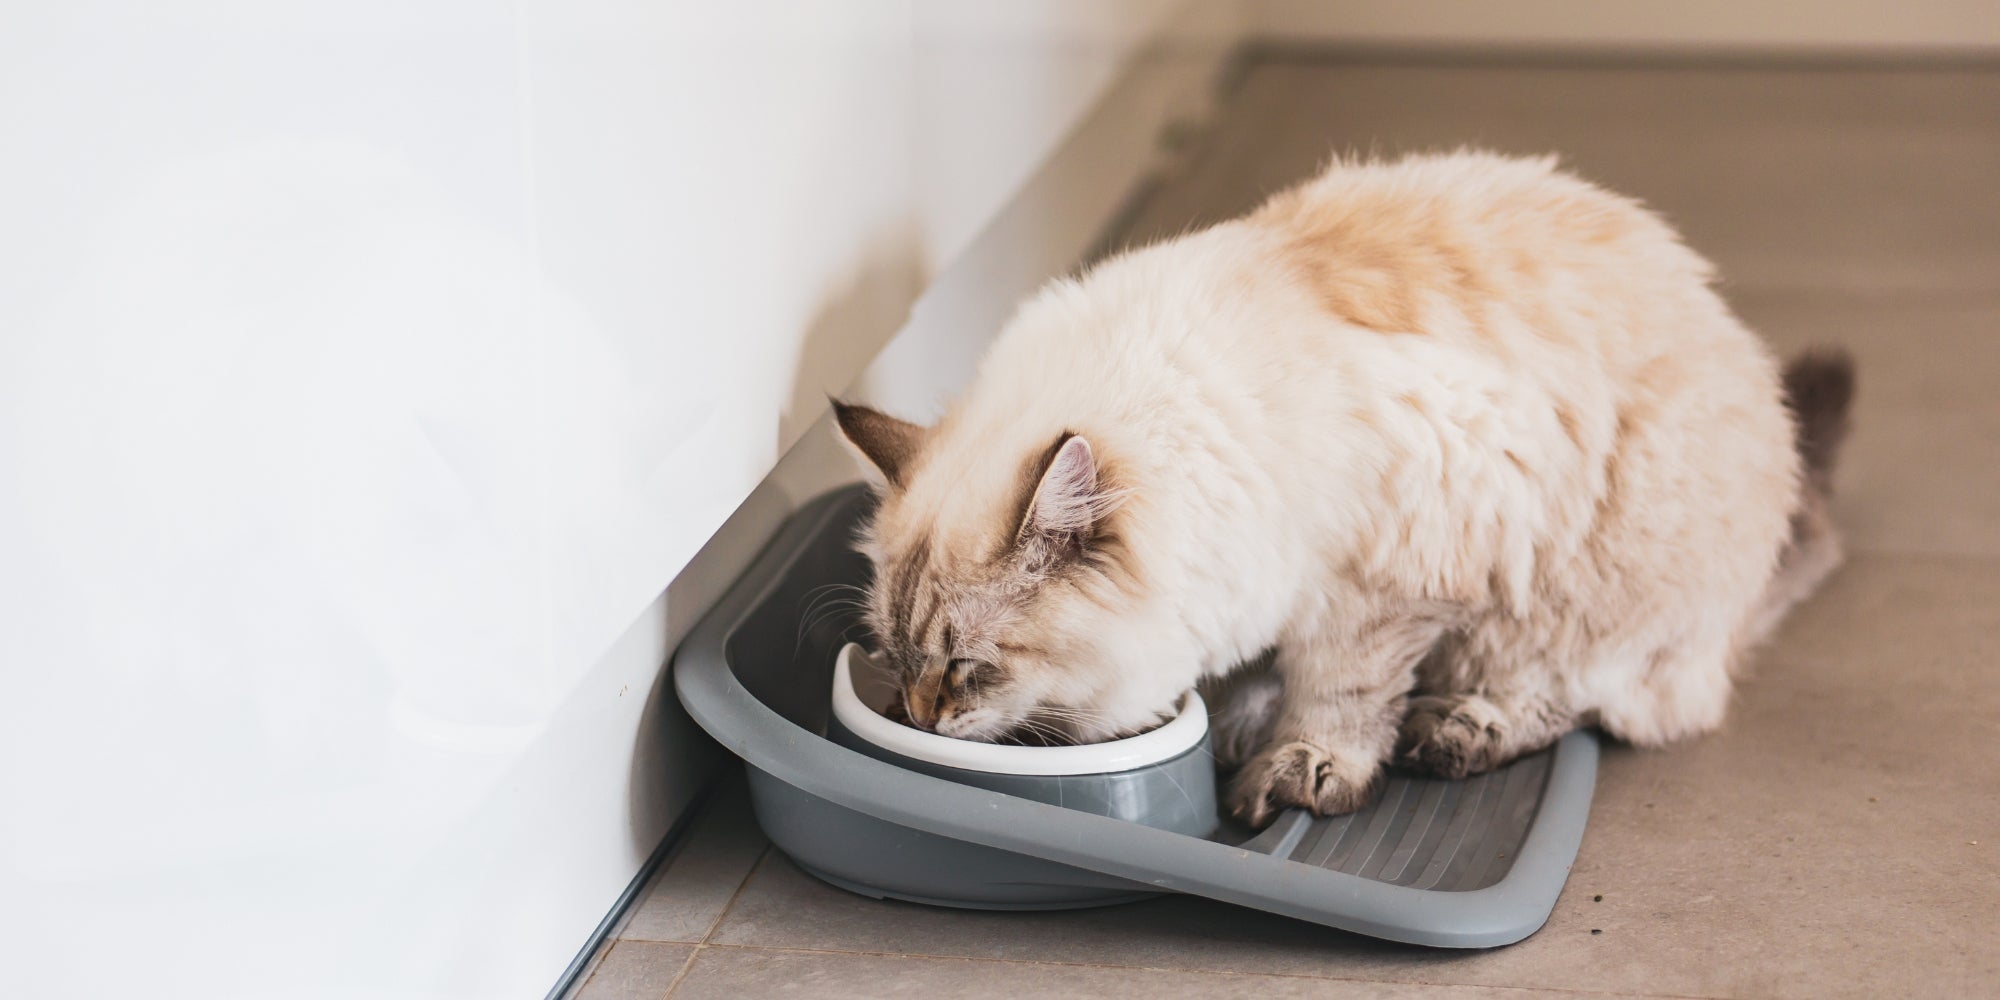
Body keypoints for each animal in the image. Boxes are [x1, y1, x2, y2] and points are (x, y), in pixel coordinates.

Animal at [836, 146, 1848, 820]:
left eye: (967, 668)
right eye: (894, 655)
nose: (921, 719)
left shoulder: (1383, 581)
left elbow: (1340, 695)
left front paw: (1302, 771)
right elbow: (1254, 671)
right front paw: (1241, 724)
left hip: (1583, 586)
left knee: (1584, 698)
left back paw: (1458, 731)